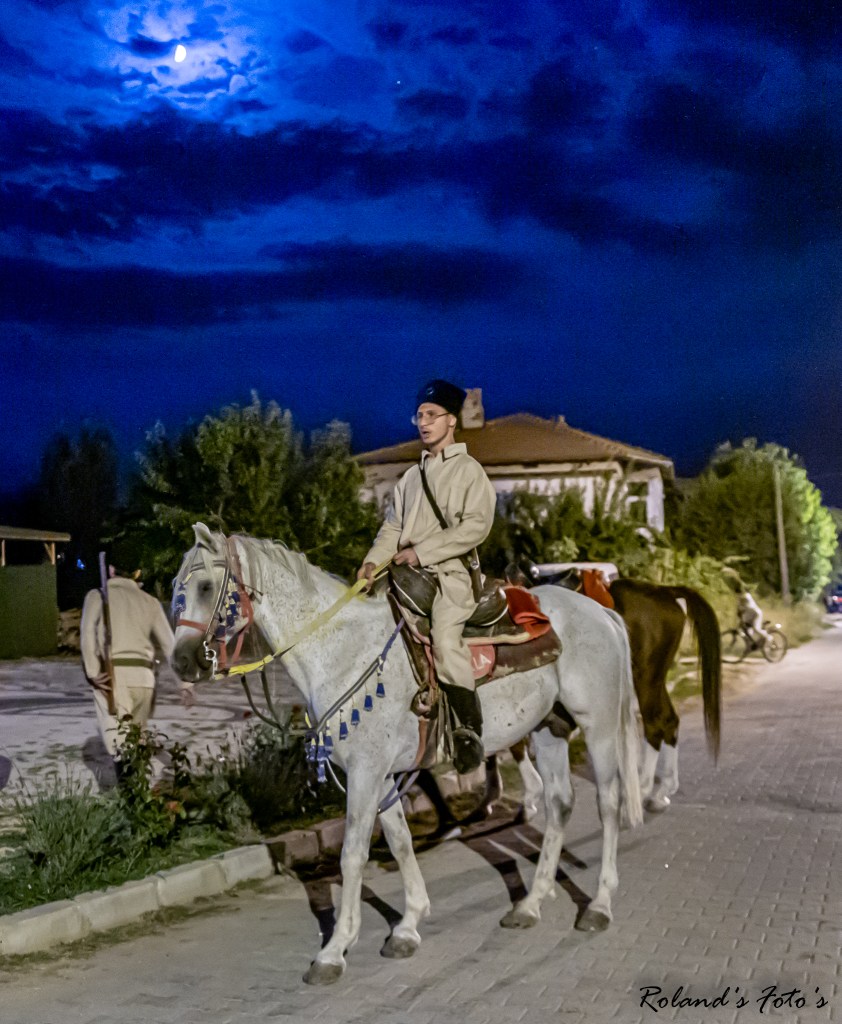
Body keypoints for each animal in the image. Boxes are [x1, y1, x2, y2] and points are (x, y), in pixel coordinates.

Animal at [172, 524, 643, 984]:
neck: (341, 652)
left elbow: (353, 854)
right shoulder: (380, 775)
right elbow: (399, 842)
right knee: (559, 804)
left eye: (206, 586)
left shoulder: (364, 773)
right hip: (547, 730)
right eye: (177, 587)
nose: (180, 663)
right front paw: (408, 925)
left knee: (609, 803)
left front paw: (334, 950)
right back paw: (530, 904)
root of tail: (599, 612)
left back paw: (599, 906)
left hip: (599, 726)